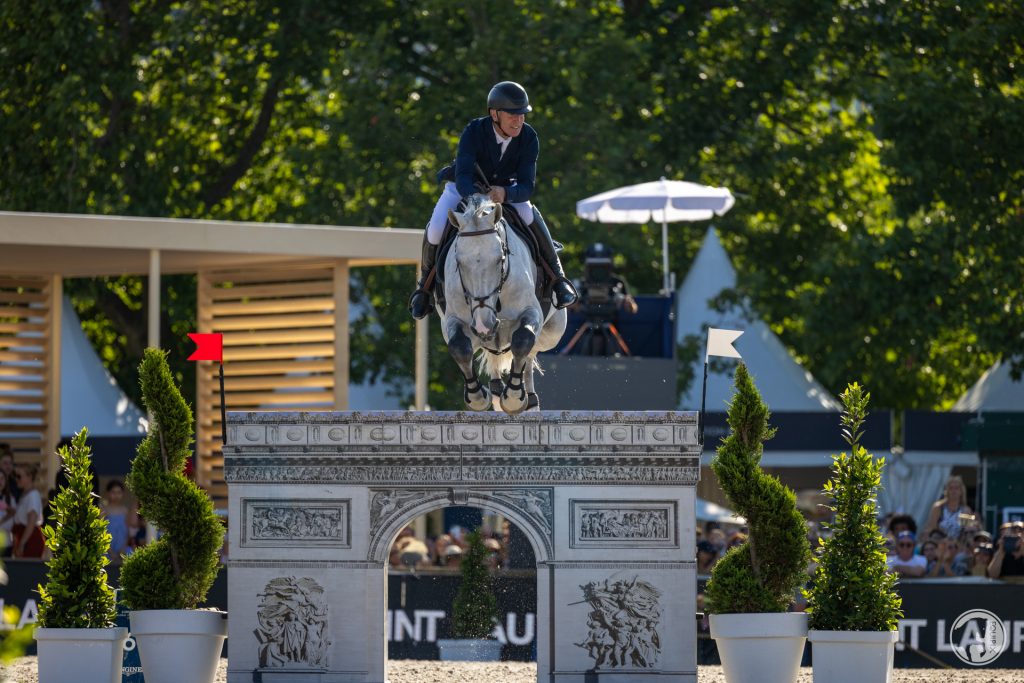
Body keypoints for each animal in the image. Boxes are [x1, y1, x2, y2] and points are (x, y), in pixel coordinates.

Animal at [436, 194, 569, 413]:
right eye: (459, 263)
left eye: (500, 259)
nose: (483, 325)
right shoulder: (452, 320)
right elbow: (460, 348)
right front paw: (478, 397)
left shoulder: (532, 311)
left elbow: (523, 340)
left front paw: (514, 398)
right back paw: (498, 391)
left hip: (553, 333)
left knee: (530, 350)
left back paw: (528, 399)